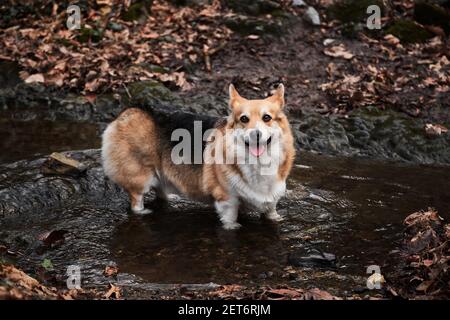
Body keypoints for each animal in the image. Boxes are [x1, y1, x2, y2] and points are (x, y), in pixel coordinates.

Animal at [103, 84, 298, 229]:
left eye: (267, 118)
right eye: (244, 119)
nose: (255, 134)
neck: (259, 163)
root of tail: (129, 110)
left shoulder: (271, 199)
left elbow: (272, 212)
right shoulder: (227, 200)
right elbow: (230, 219)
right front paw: (233, 227)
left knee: (160, 189)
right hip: (141, 177)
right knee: (136, 201)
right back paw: (143, 212)